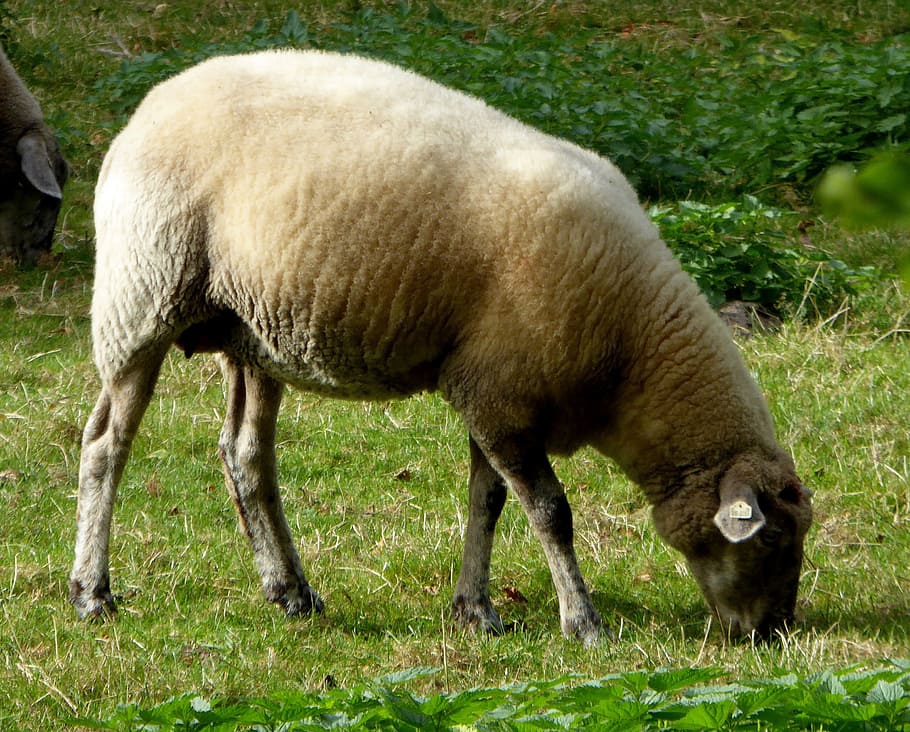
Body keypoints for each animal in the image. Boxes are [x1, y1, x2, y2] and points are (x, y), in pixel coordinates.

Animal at [70, 49, 812, 644]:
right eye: (773, 538)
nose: (771, 632)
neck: (634, 353)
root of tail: (153, 102)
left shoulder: (498, 397)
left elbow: (489, 504)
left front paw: (475, 610)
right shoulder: (501, 399)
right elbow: (552, 513)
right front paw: (583, 622)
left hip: (252, 329)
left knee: (246, 455)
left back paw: (291, 592)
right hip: (142, 299)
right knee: (106, 445)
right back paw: (92, 593)